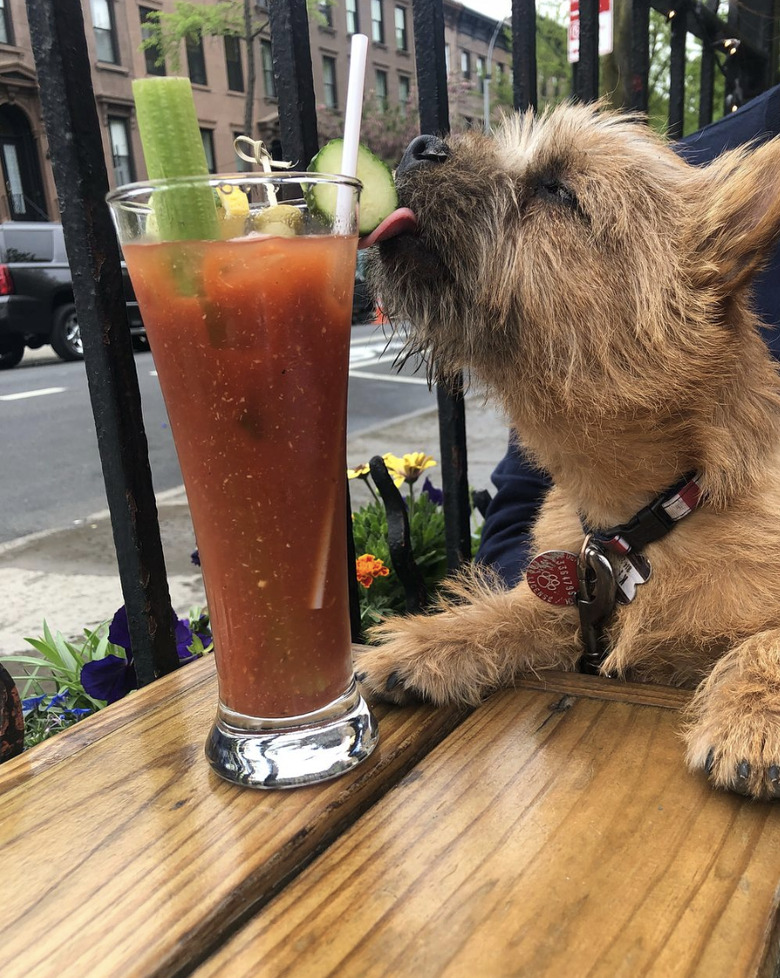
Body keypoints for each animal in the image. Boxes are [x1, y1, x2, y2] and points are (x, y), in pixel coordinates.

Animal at [362, 101, 780, 800]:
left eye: (559, 190)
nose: (420, 145)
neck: (645, 519)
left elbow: (766, 639)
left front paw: (753, 716)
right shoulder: (573, 614)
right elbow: (510, 611)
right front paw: (430, 642)